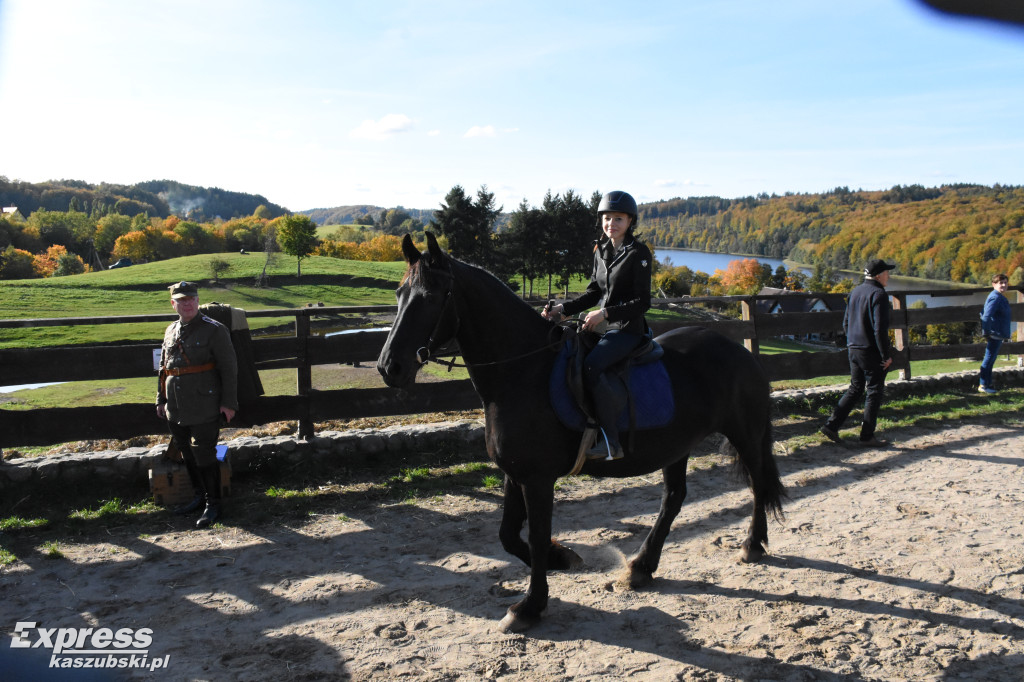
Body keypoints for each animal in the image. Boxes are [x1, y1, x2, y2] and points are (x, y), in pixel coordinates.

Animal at [380, 233, 786, 630]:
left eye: (431, 297)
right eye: (399, 294)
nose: (389, 367)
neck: (523, 373)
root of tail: (739, 350)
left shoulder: (537, 479)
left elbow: (536, 536)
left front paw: (530, 606)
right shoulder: (515, 473)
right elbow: (508, 535)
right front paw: (562, 558)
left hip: (745, 434)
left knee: (758, 483)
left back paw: (752, 545)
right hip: (678, 445)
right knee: (674, 498)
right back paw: (641, 567)